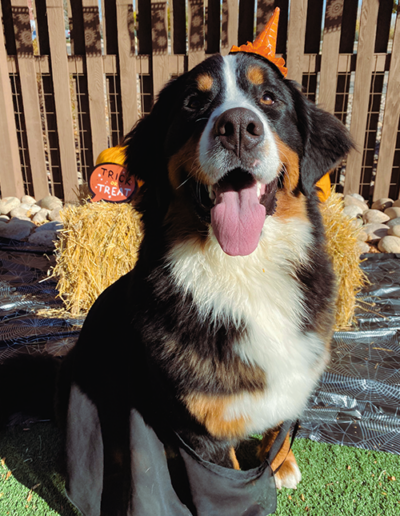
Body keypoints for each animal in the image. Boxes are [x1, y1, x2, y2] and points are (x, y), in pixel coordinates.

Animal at [0, 8, 352, 516]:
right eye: (193, 103)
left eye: (269, 99)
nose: (238, 126)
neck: (244, 270)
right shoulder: (200, 428)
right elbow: (229, 481)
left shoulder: (298, 370)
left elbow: (281, 427)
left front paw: (281, 462)